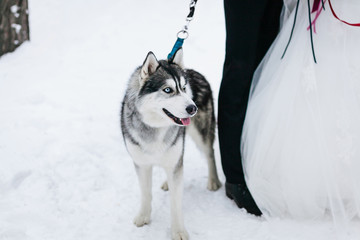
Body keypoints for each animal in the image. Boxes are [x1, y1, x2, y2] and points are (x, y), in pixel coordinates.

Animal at [121, 49, 221, 240]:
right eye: (168, 90)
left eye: (184, 88)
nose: (193, 108)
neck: (155, 128)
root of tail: (192, 71)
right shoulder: (141, 164)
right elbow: (146, 193)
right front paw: (143, 216)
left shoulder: (175, 160)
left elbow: (175, 203)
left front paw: (178, 231)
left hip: (201, 133)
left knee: (209, 153)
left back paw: (214, 181)